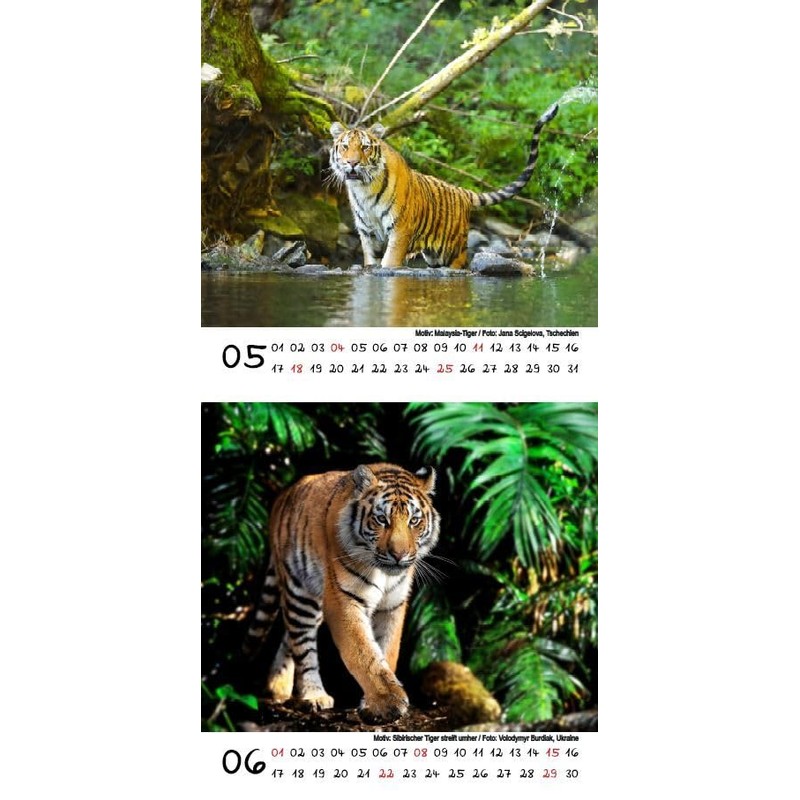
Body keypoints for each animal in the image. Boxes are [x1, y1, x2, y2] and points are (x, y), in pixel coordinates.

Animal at [243, 463, 440, 723]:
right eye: (381, 519)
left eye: (414, 520)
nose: (399, 555)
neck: (384, 573)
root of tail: (282, 496)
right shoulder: (343, 600)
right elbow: (363, 652)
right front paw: (388, 702)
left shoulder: (393, 606)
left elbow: (387, 650)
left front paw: (373, 702)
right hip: (300, 594)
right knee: (303, 646)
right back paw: (313, 695)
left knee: (289, 638)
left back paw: (277, 688)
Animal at [329, 104, 558, 269]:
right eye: (345, 146)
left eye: (365, 147)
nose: (352, 163)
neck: (364, 189)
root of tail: (461, 191)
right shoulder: (368, 235)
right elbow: (371, 262)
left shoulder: (399, 232)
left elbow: (389, 263)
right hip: (433, 255)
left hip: (452, 252)